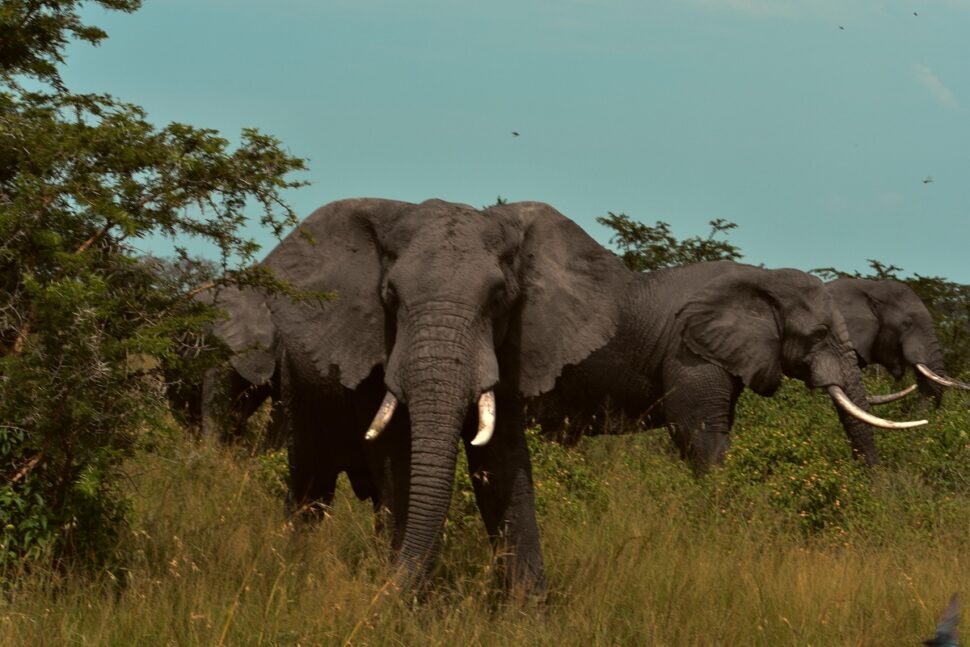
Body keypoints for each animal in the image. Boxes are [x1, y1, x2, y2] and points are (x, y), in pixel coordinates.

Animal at [255, 197, 628, 596]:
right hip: (296, 382)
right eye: (391, 296)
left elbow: (503, 463)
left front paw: (529, 609)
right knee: (311, 484)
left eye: (498, 299)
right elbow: (398, 459)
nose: (388, 590)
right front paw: (405, 603)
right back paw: (293, 565)